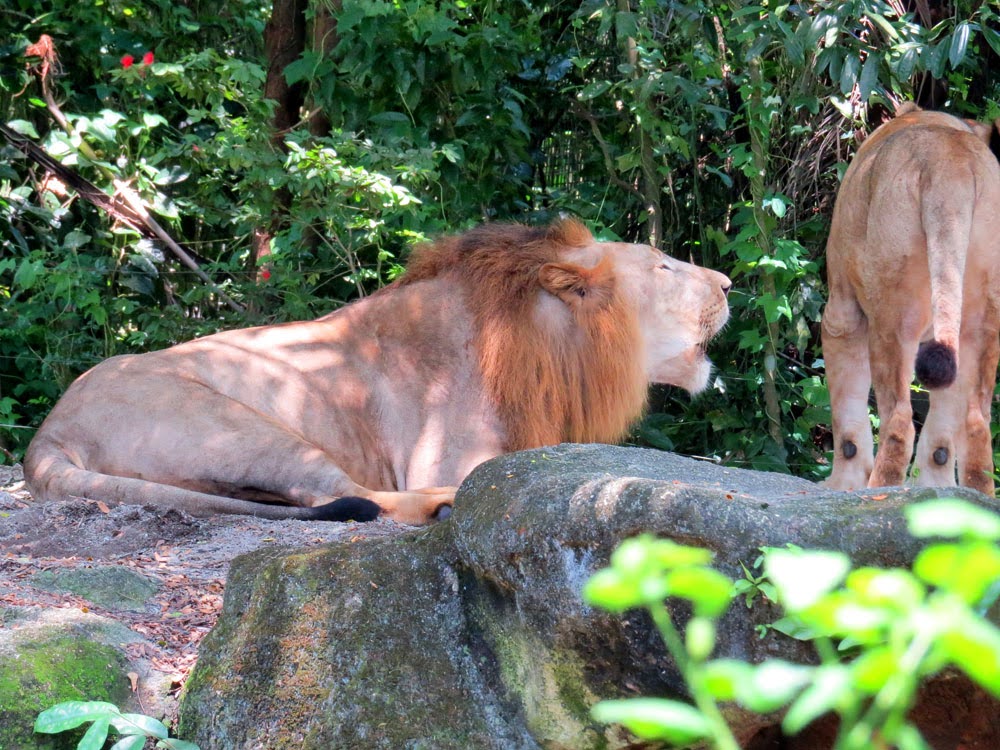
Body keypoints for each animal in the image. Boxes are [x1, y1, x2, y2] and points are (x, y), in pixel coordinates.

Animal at [21, 216, 728, 524]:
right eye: (665, 266)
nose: (726, 283)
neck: (558, 345)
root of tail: (47, 433)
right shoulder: (450, 453)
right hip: (242, 426)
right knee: (336, 495)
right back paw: (442, 507)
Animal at [820, 103, 1000, 496]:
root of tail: (952, 162)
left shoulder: (841, 313)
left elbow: (847, 415)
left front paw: (842, 484)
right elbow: (942, 441)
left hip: (891, 317)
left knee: (899, 420)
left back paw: (878, 493)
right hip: (982, 318)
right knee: (975, 422)